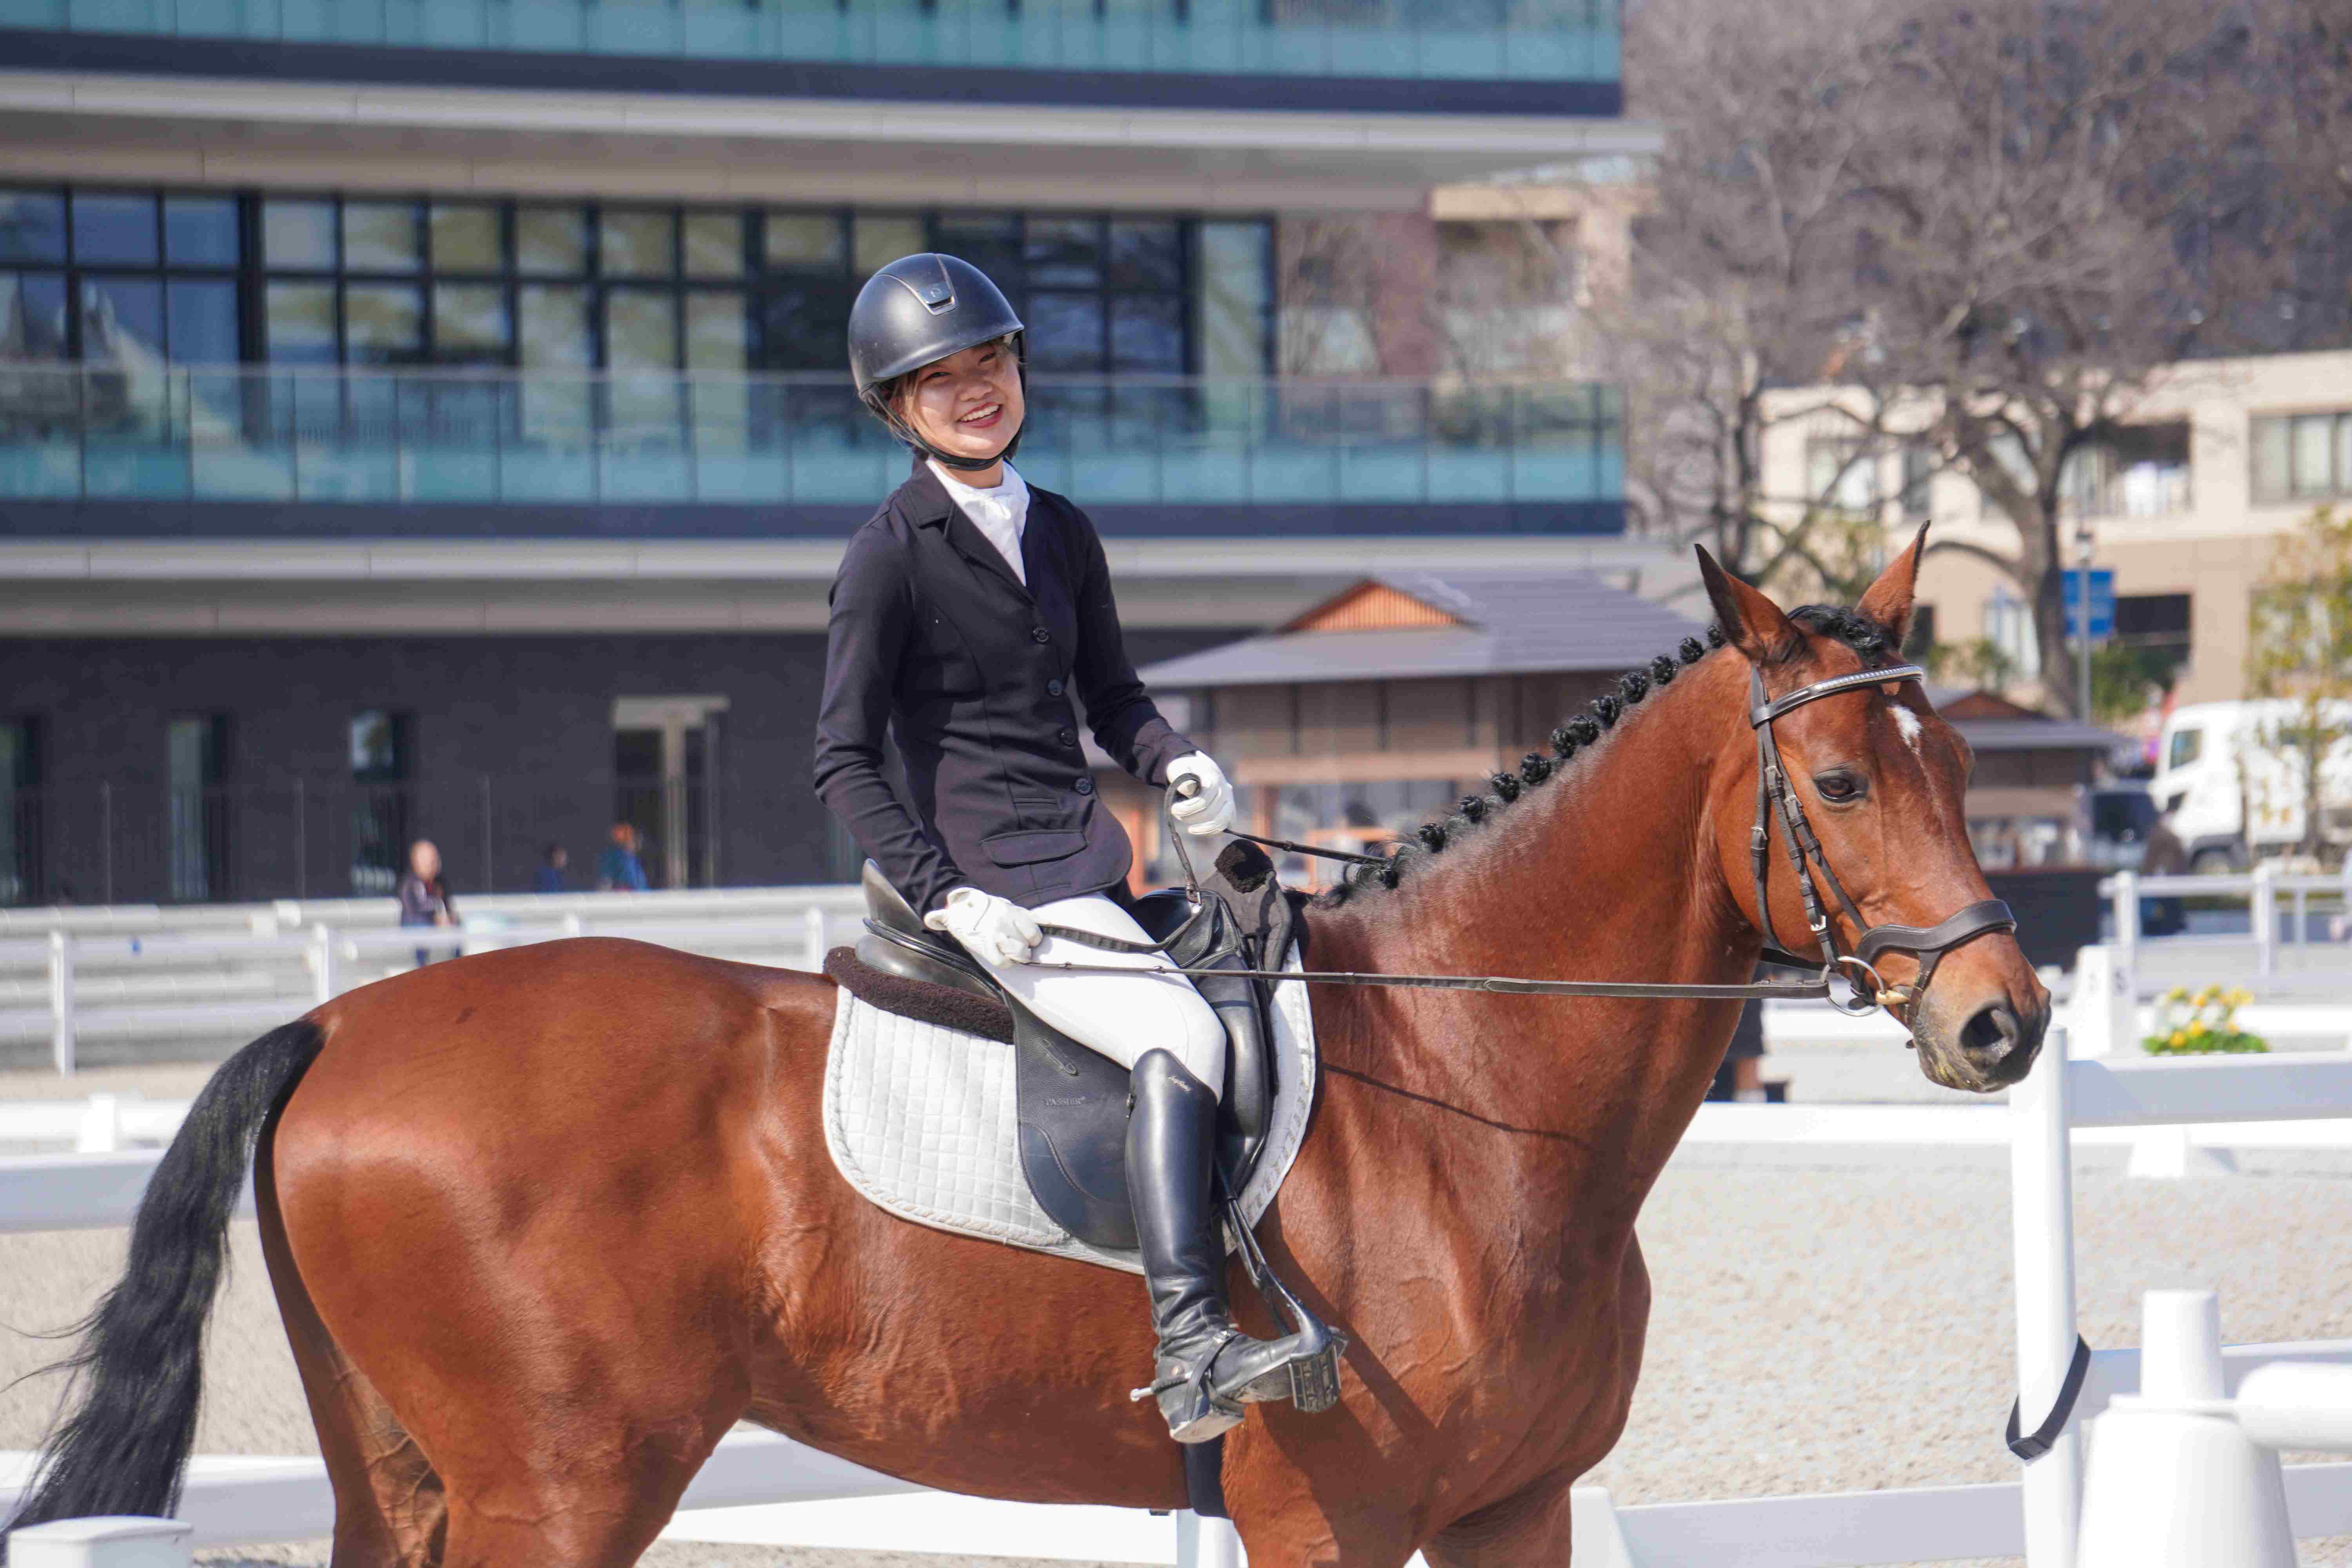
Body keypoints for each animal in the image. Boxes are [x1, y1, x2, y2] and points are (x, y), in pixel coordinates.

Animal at [5, 533, 2048, 1566]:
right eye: (1842, 777)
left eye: (1963, 759)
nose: (2000, 1016)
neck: (1478, 1100)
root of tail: (338, 1015)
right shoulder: (1332, 1517)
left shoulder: (1510, 1513)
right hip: (561, 1484)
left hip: (409, 1474)